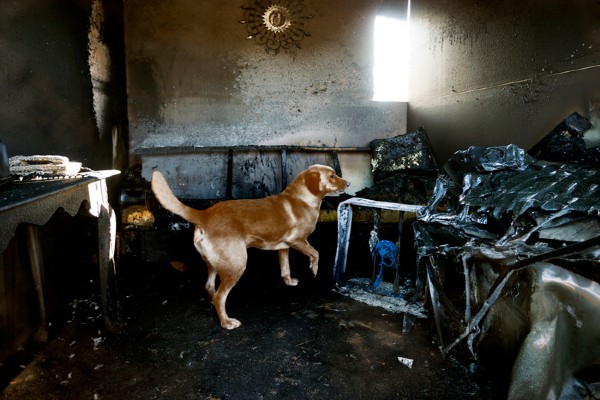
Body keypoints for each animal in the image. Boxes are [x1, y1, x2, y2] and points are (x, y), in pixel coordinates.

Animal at [150, 163, 350, 328]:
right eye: (332, 176)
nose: (348, 183)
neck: (302, 197)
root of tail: (204, 215)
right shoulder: (298, 241)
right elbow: (316, 254)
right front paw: (313, 270)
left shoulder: (283, 246)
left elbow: (285, 267)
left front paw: (288, 281)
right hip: (236, 265)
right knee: (220, 297)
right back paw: (226, 322)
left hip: (214, 264)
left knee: (210, 288)